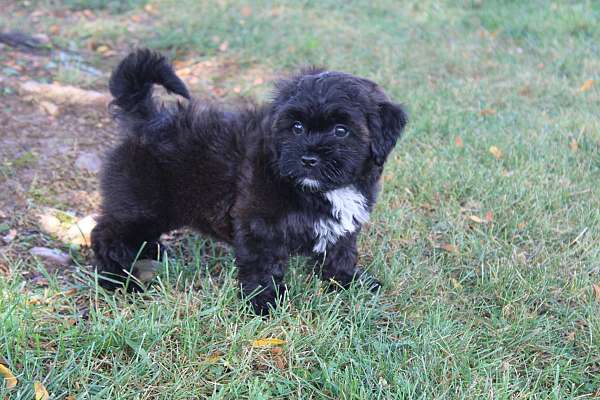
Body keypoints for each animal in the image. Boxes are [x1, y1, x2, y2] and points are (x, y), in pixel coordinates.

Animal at [90, 48, 408, 314]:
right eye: (296, 127)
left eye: (341, 130)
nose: (308, 159)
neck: (317, 190)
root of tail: (149, 119)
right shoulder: (258, 224)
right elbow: (262, 264)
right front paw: (264, 302)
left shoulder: (343, 227)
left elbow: (340, 253)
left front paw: (350, 282)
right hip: (142, 204)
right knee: (106, 234)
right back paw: (117, 280)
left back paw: (149, 252)